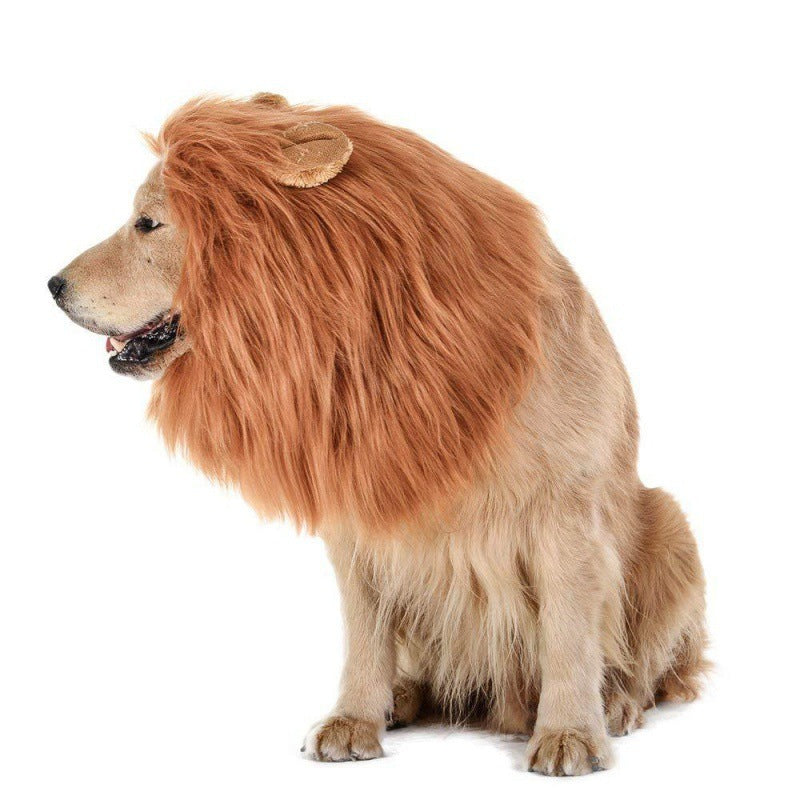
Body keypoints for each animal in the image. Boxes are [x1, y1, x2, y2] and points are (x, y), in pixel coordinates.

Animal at [48, 93, 707, 776]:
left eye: (147, 224)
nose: (52, 285)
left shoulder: (565, 513)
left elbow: (569, 634)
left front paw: (570, 733)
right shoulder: (360, 512)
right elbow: (366, 636)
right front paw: (354, 719)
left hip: (669, 522)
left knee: (650, 667)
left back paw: (617, 705)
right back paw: (404, 697)